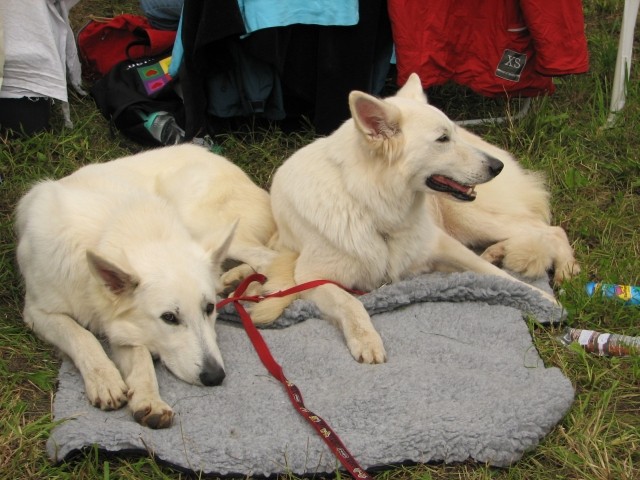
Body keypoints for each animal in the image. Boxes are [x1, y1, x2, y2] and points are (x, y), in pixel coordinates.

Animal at [16, 145, 276, 428]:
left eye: (209, 309)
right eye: (169, 318)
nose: (215, 377)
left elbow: (139, 354)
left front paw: (147, 397)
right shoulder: (38, 312)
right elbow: (81, 335)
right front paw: (106, 379)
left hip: (198, 218)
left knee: (271, 256)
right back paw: (237, 282)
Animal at [250, 72, 580, 364]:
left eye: (452, 133)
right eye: (443, 139)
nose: (496, 166)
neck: (371, 206)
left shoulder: (443, 245)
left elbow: (498, 276)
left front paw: (543, 299)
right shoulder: (310, 277)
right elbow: (350, 302)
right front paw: (366, 339)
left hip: (468, 219)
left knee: (548, 229)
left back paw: (565, 268)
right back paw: (502, 252)